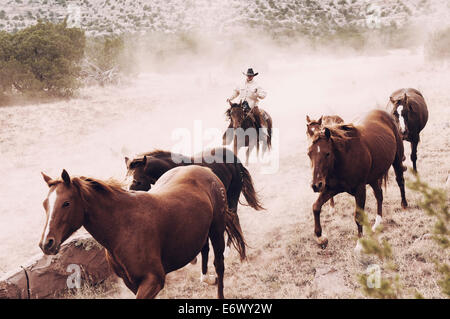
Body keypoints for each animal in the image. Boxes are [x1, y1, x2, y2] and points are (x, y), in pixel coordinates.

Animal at [38, 166, 246, 298]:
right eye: (45, 204)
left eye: (66, 203)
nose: (46, 243)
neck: (122, 227)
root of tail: (207, 171)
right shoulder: (132, 283)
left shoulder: (153, 280)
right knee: (204, 251)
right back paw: (207, 279)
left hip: (217, 230)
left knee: (219, 264)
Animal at [310, 109, 408, 250]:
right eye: (309, 153)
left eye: (327, 153)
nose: (316, 185)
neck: (343, 159)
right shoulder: (331, 188)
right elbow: (316, 207)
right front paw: (320, 238)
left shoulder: (360, 190)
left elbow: (358, 217)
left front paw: (360, 244)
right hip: (373, 178)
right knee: (379, 195)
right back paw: (377, 222)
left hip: (397, 161)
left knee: (400, 181)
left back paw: (404, 204)